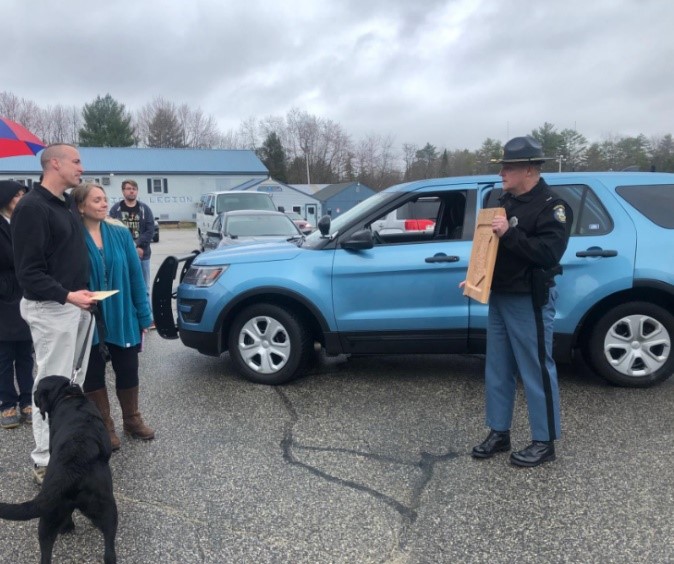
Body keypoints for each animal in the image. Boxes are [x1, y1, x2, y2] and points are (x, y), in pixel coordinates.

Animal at [0, 374, 117, 564]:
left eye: (37, 390)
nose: (32, 396)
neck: (68, 395)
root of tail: (71, 469)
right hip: (105, 509)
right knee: (109, 551)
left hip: (50, 517)